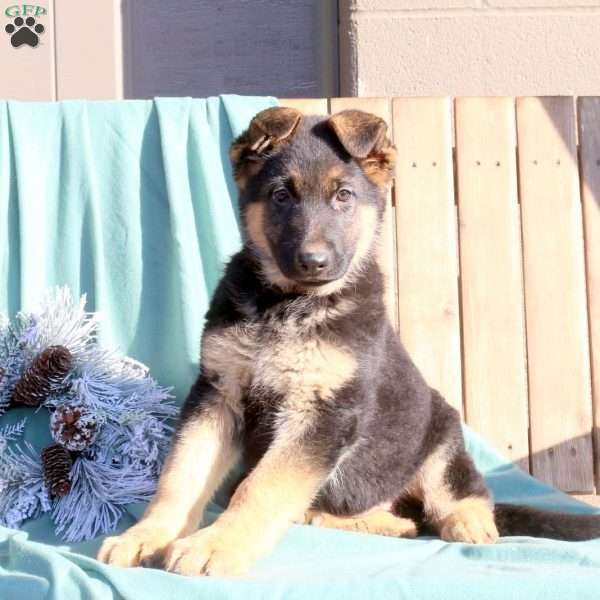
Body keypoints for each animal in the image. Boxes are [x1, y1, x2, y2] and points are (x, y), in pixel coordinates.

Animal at [98, 105, 600, 576]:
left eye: (343, 196)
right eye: (281, 196)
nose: (314, 261)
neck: (289, 305)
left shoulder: (323, 413)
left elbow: (260, 487)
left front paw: (216, 546)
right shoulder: (217, 394)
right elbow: (181, 475)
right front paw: (148, 535)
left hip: (439, 434)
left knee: (460, 494)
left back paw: (467, 520)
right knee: (385, 516)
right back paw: (365, 520)